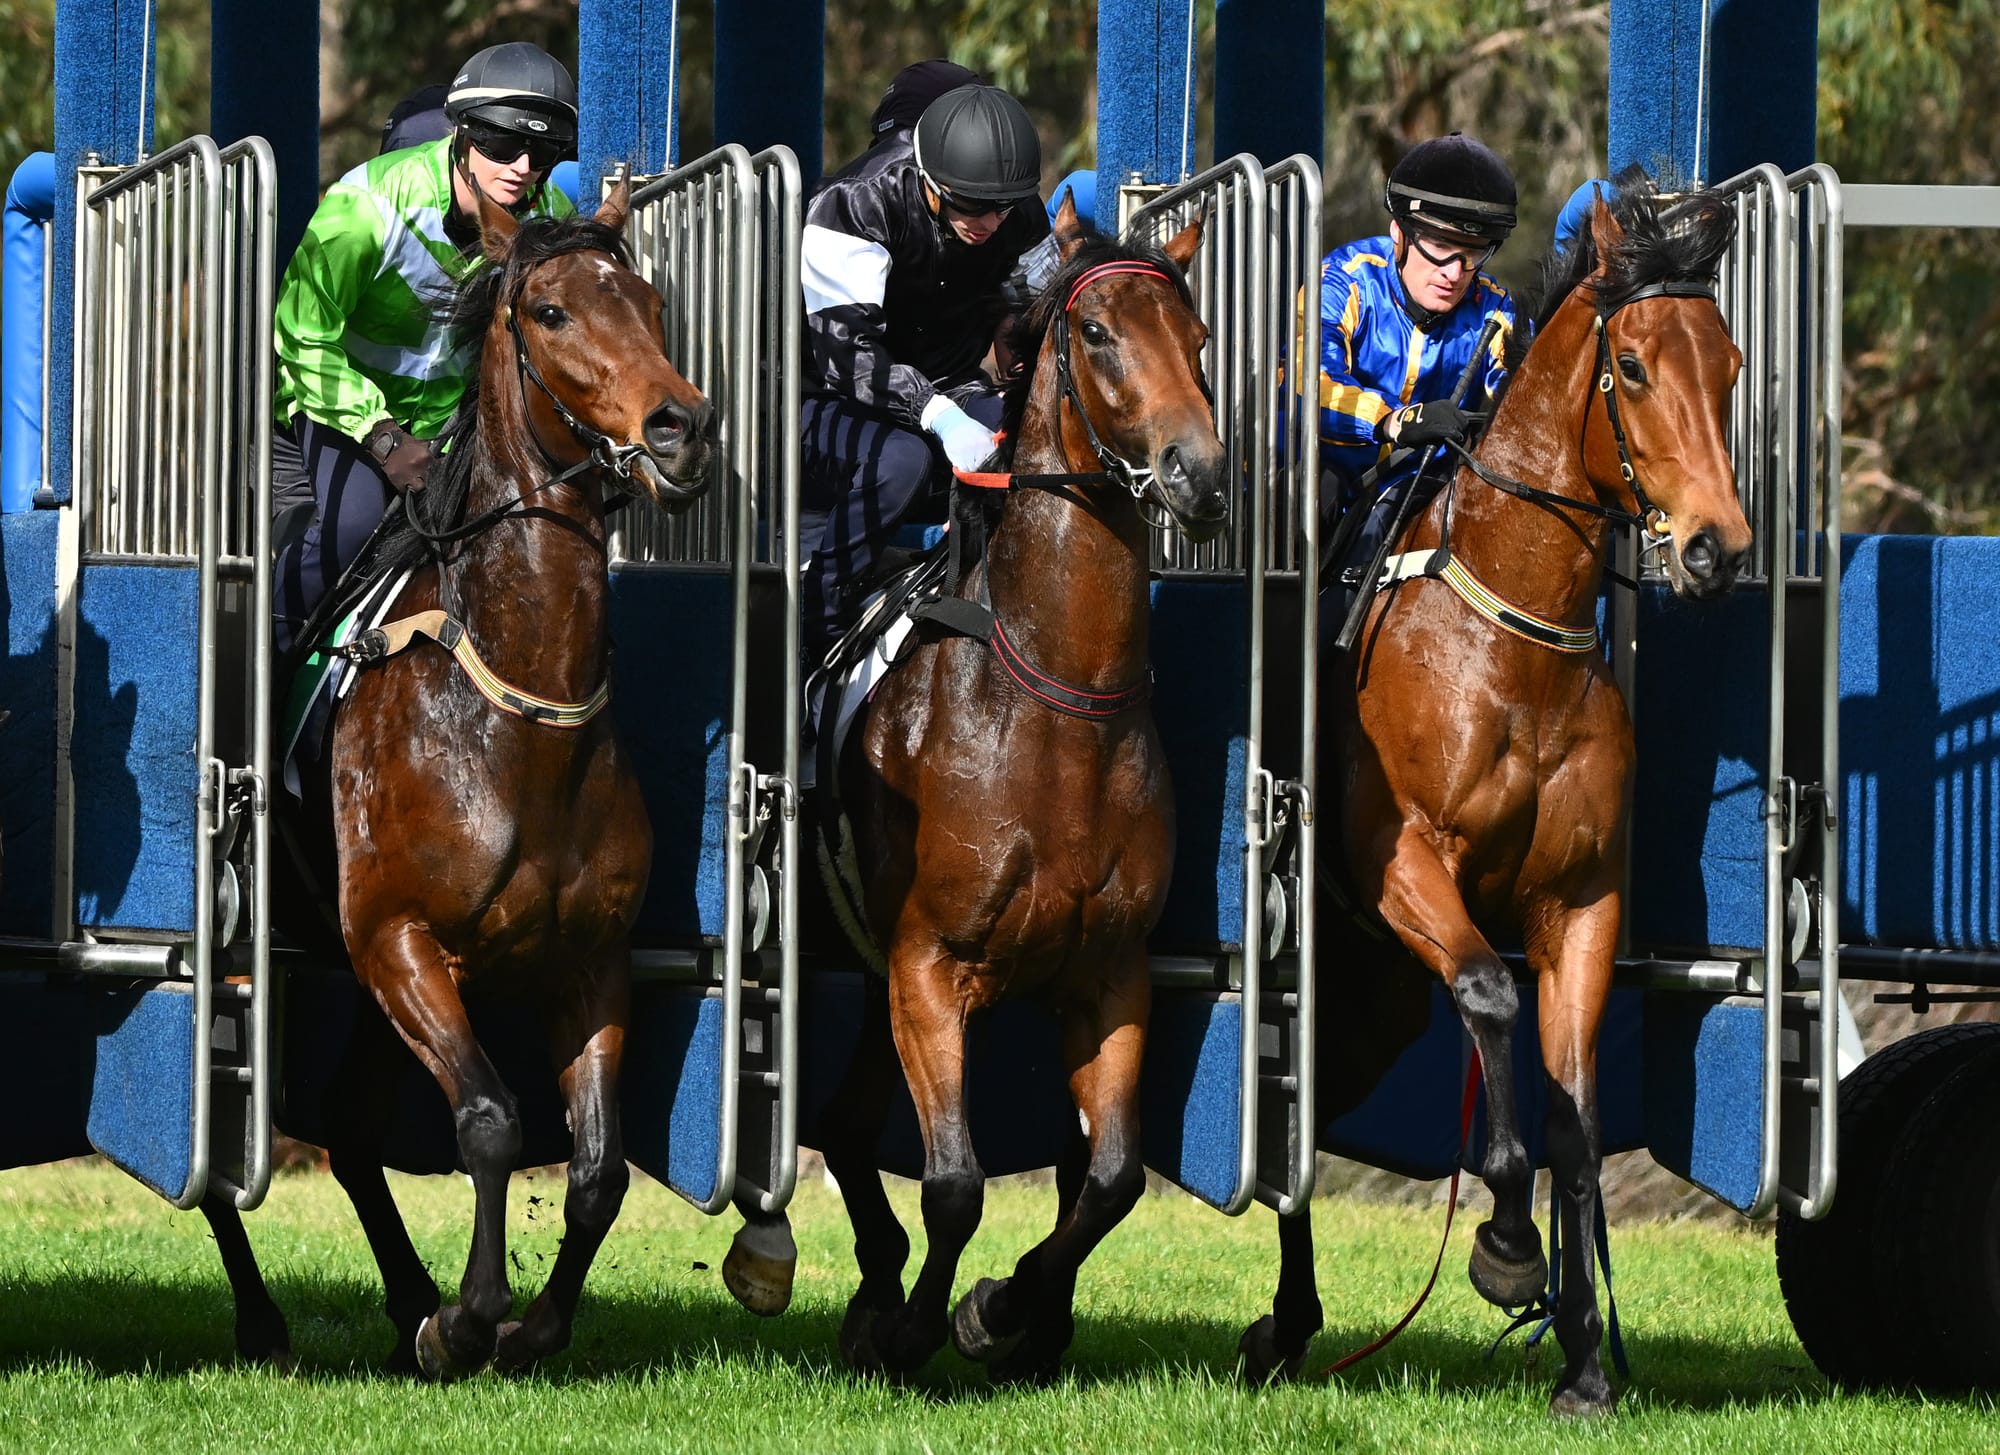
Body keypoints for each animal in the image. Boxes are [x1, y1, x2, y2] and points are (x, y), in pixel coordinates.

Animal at [193, 178, 720, 1375]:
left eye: (653, 304)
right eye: (552, 313)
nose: (682, 426)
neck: (512, 719)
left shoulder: (589, 958)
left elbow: (597, 1167)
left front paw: (527, 1326)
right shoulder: (396, 940)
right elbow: (488, 1120)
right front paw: (471, 1315)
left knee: (347, 1127)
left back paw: (401, 1298)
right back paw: (265, 1315)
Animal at [804, 195, 1224, 1383]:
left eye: (1199, 337)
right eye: (1098, 335)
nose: (1198, 474)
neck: (1055, 708)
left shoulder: (1109, 975)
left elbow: (1112, 1179)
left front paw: (1003, 1309)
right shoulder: (928, 968)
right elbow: (953, 1183)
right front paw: (924, 1323)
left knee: (845, 1127)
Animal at [1240, 175, 1760, 1415]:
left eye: (1724, 365)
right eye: (1633, 368)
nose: (1715, 549)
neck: (1508, 647)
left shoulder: (1577, 906)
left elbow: (1574, 1121)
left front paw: (1580, 1356)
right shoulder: (1407, 869)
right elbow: (1487, 1001)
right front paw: (1508, 1247)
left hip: (1374, 1001)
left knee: (1317, 1109)